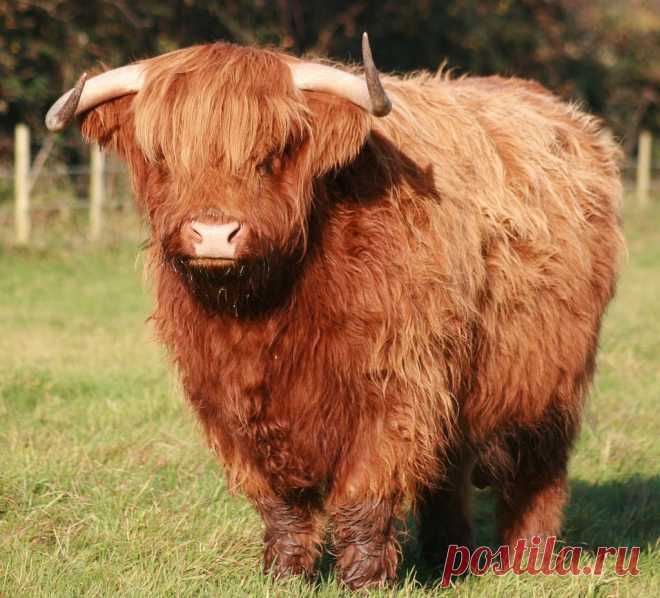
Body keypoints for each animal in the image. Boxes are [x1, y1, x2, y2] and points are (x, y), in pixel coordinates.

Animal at [45, 34, 624, 590]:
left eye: (274, 152)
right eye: (162, 155)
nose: (213, 233)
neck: (264, 313)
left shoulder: (395, 386)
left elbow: (364, 496)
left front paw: (365, 580)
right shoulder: (227, 399)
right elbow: (280, 505)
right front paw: (282, 574)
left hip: (548, 377)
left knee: (539, 474)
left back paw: (527, 561)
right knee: (449, 469)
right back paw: (446, 559)